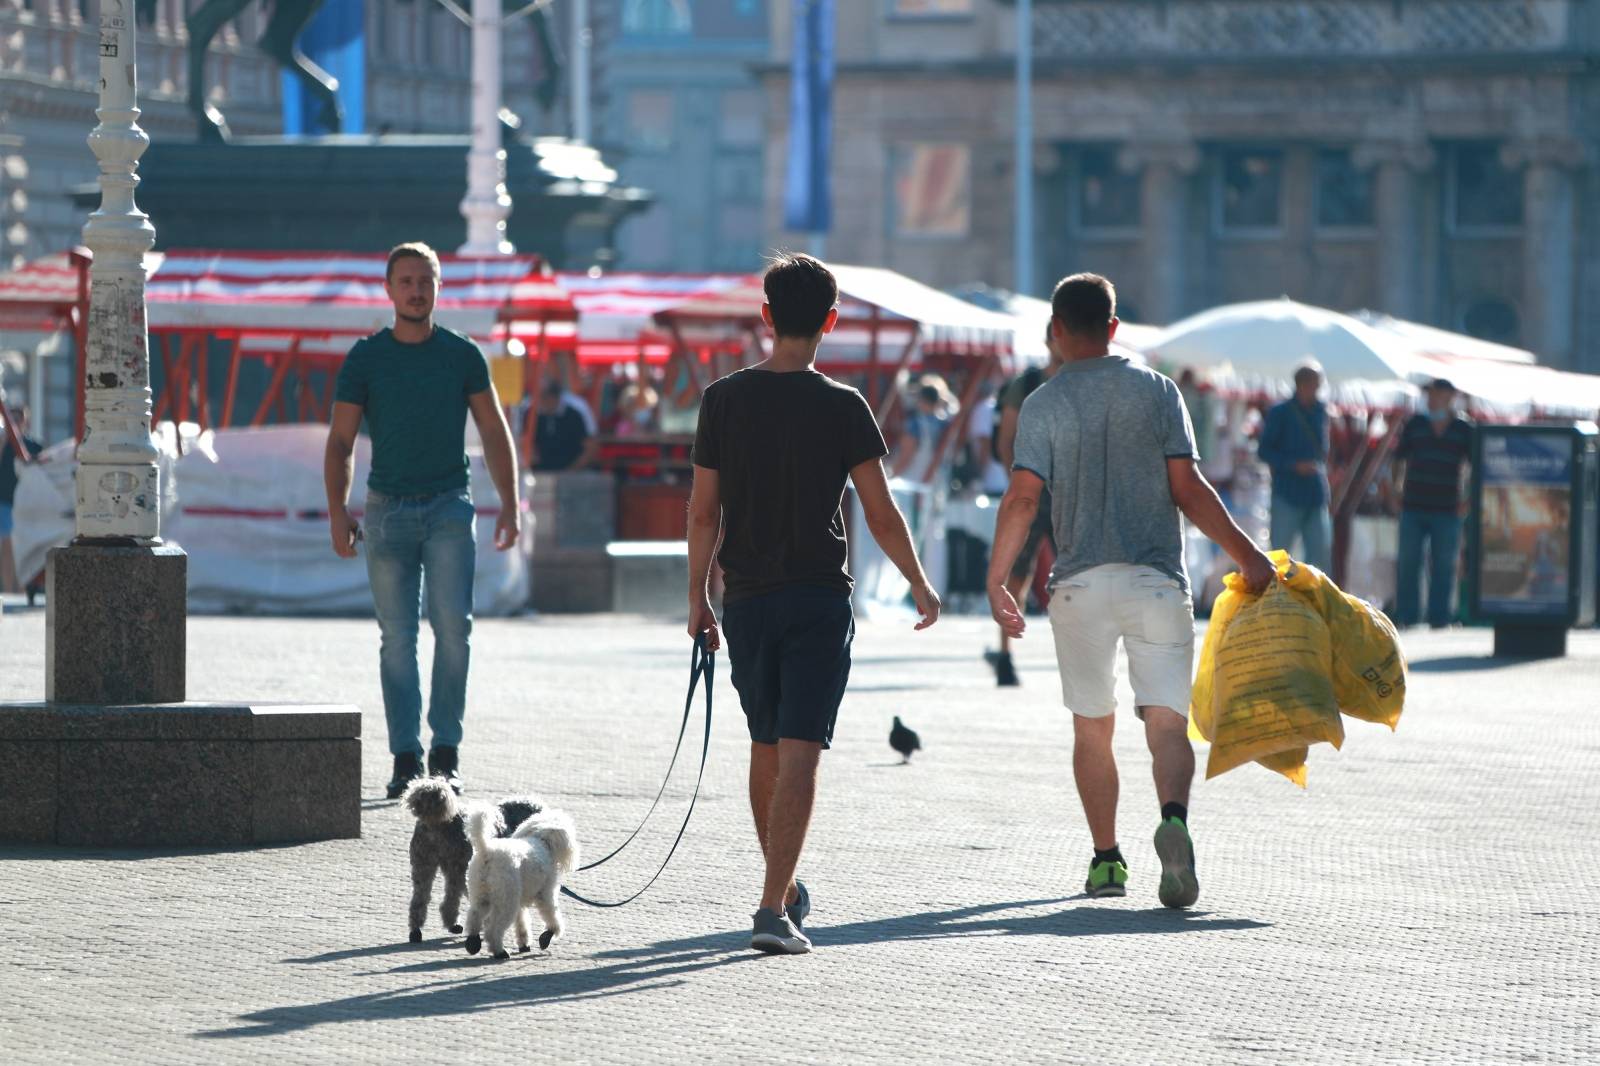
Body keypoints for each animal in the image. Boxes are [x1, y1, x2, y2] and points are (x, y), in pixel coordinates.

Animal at [464, 800, 582, 960]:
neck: (542, 841)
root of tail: (486, 851)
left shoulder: (520, 899)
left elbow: (521, 922)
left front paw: (524, 943)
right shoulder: (545, 894)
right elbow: (551, 914)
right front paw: (548, 935)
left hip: (481, 894)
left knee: (474, 917)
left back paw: (473, 944)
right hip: (506, 900)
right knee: (493, 930)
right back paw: (499, 952)